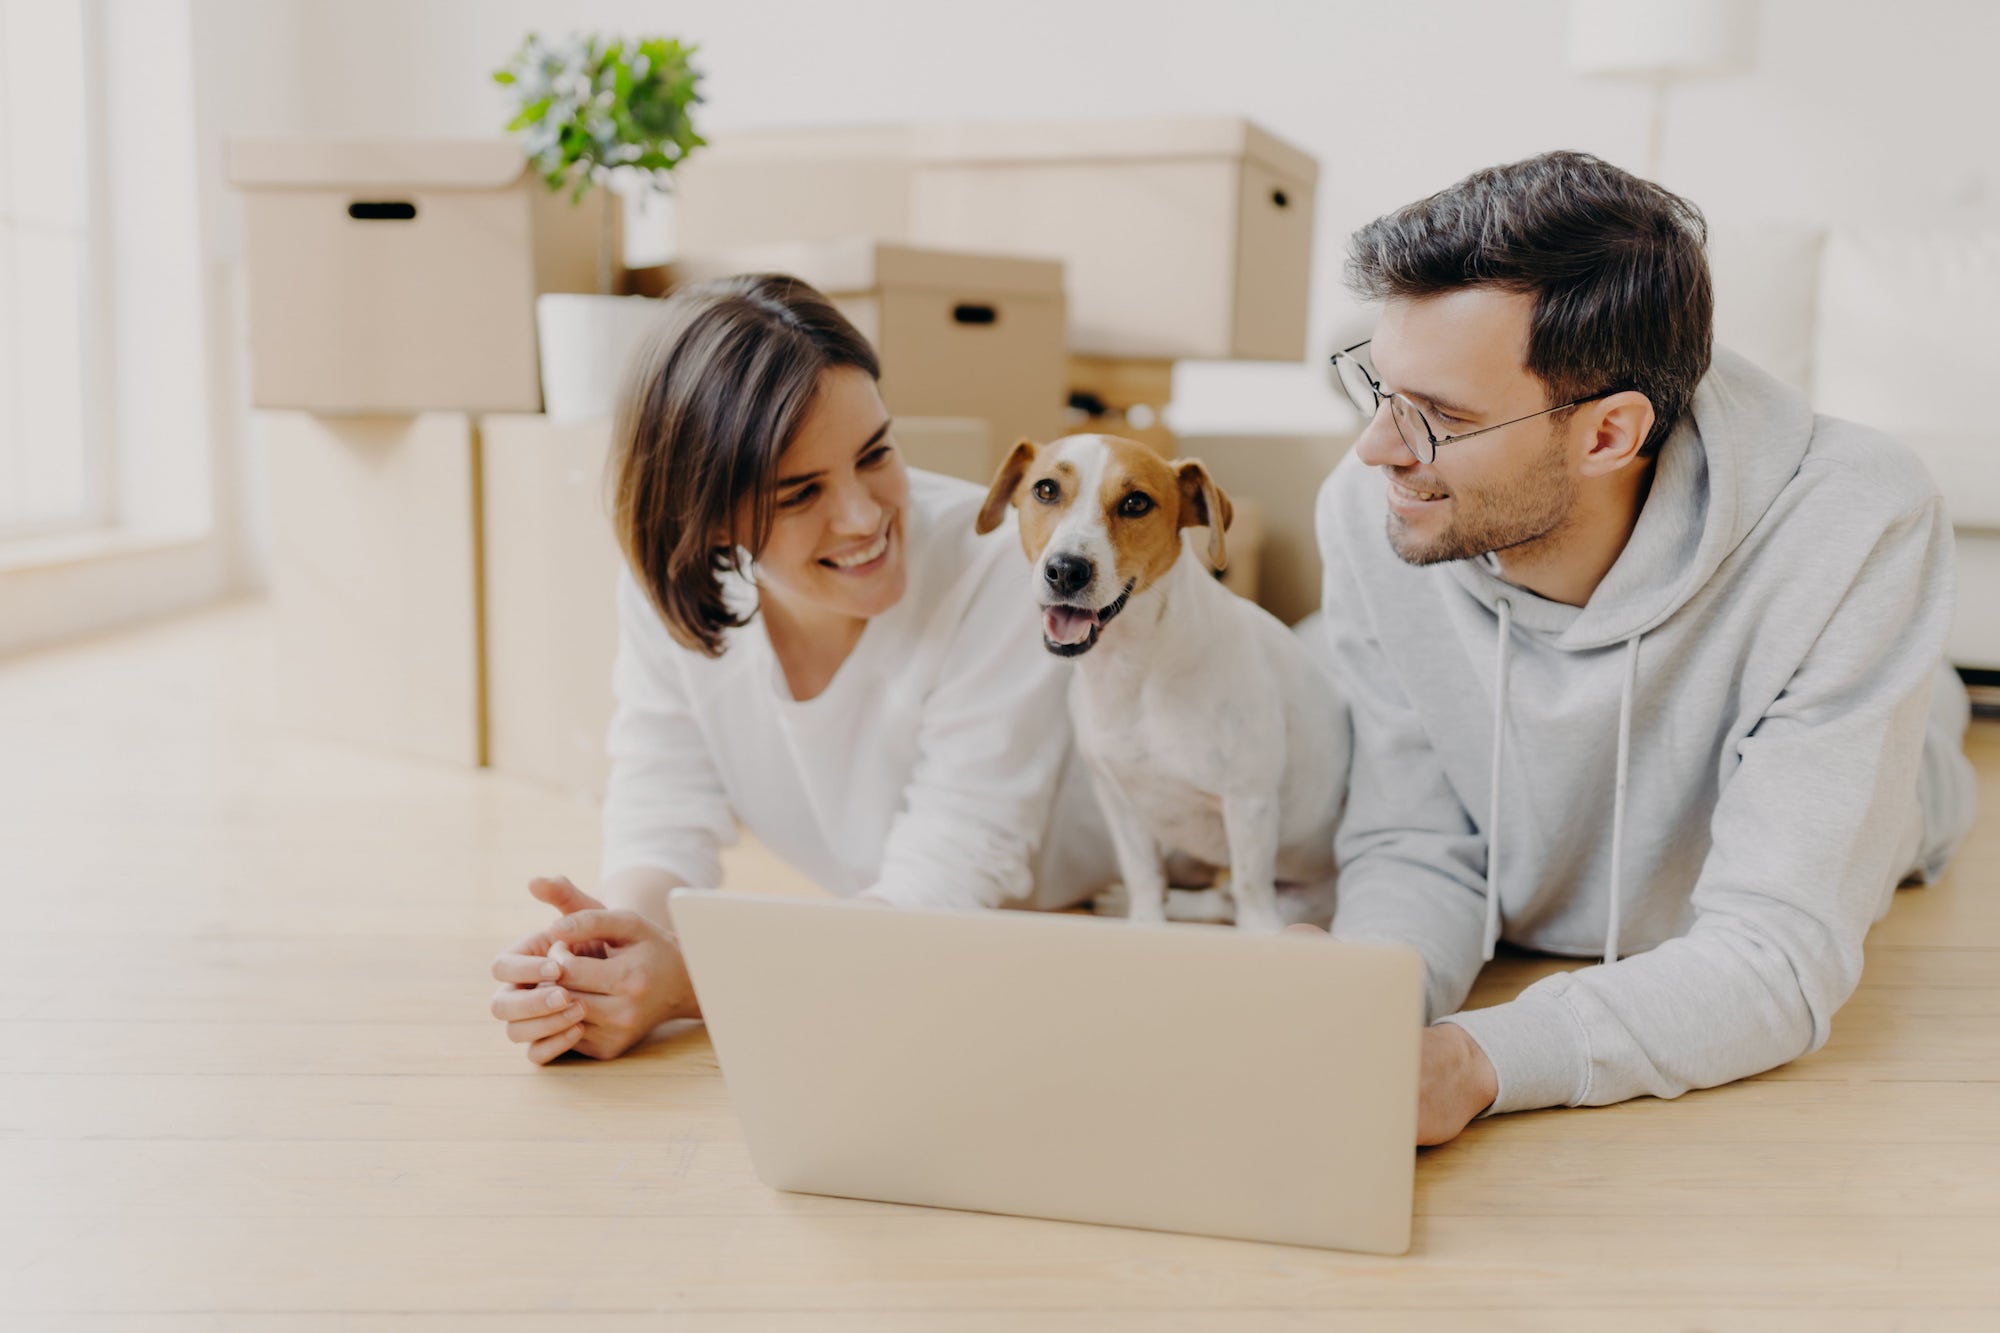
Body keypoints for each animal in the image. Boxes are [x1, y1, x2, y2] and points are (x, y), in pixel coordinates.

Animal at [980, 430, 1352, 928]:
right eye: (1045, 490)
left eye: (1136, 502)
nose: (1066, 570)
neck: (1138, 669)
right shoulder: (1120, 803)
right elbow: (1145, 880)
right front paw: (1144, 921)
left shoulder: (1249, 802)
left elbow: (1251, 894)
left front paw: (1261, 933)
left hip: (1306, 895)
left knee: (1228, 900)